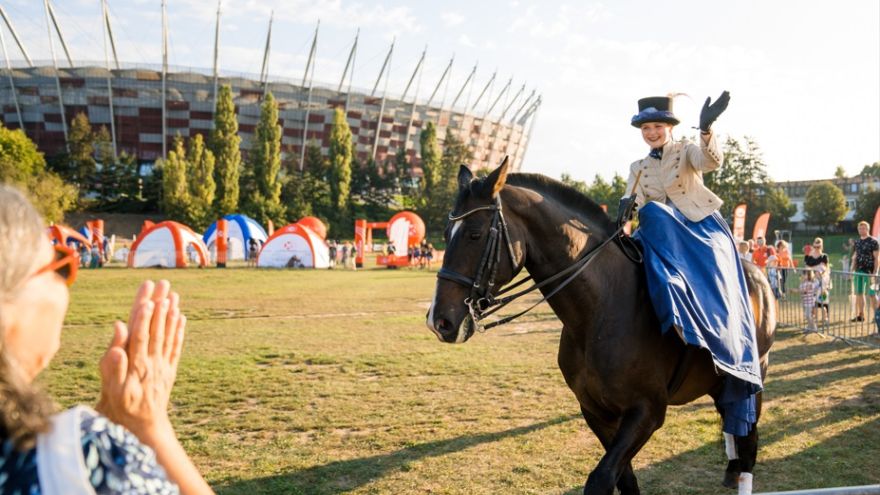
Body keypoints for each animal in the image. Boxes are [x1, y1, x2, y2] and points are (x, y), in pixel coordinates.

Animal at [426, 161, 776, 494]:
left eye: (475, 234)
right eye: (445, 232)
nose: (438, 321)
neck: (598, 311)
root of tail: (758, 275)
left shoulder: (647, 411)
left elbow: (601, 479)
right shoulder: (596, 411)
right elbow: (625, 480)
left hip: (752, 376)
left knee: (748, 442)